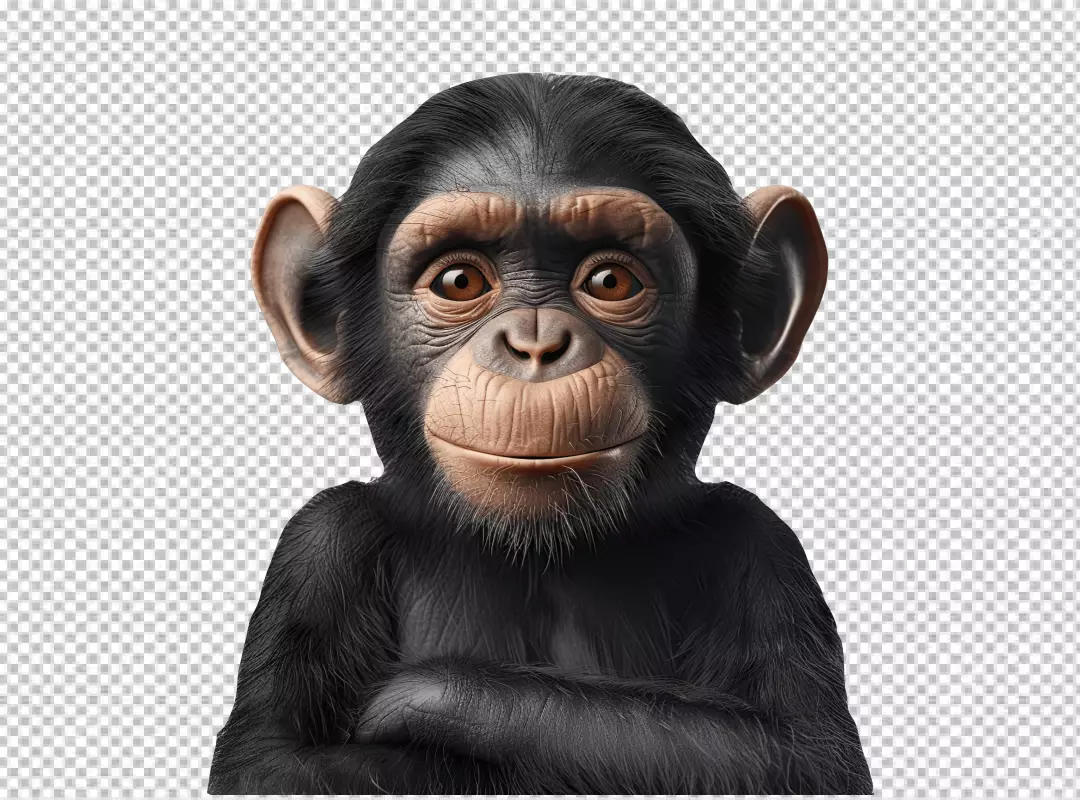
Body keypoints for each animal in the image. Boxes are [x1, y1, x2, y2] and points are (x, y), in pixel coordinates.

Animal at [208, 73, 872, 795]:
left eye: (610, 279)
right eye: (459, 279)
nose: (535, 342)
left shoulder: (762, 544)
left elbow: (797, 752)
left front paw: (436, 698)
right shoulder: (319, 545)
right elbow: (272, 762)